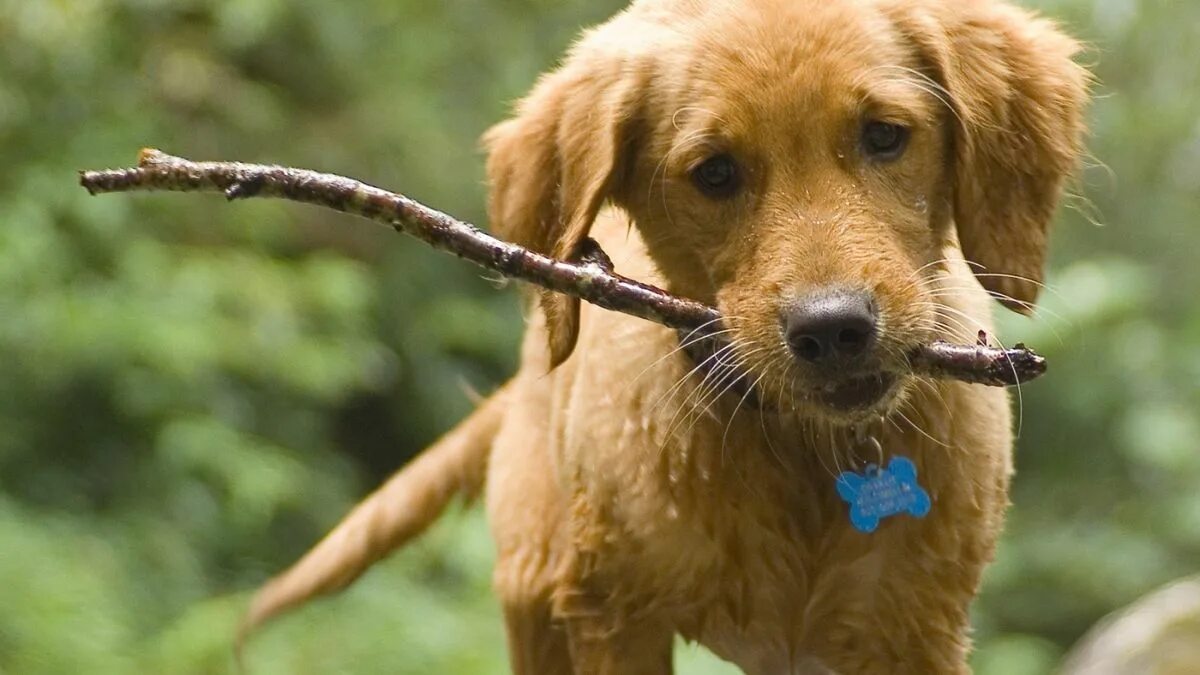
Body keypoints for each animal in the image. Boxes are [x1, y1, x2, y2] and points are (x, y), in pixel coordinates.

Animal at [238, 2, 1094, 667]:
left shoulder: (914, 631)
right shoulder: (610, 616)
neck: (806, 452)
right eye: (714, 173)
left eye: (885, 135)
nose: (834, 330)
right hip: (534, 584)